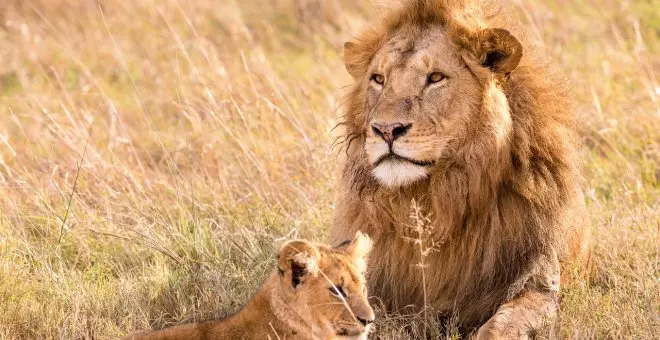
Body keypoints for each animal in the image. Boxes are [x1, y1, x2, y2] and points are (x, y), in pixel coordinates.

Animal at [330, 0, 592, 338]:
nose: (386, 130)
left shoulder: (538, 281)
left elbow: (501, 326)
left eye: (435, 77)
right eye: (378, 79)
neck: (433, 200)